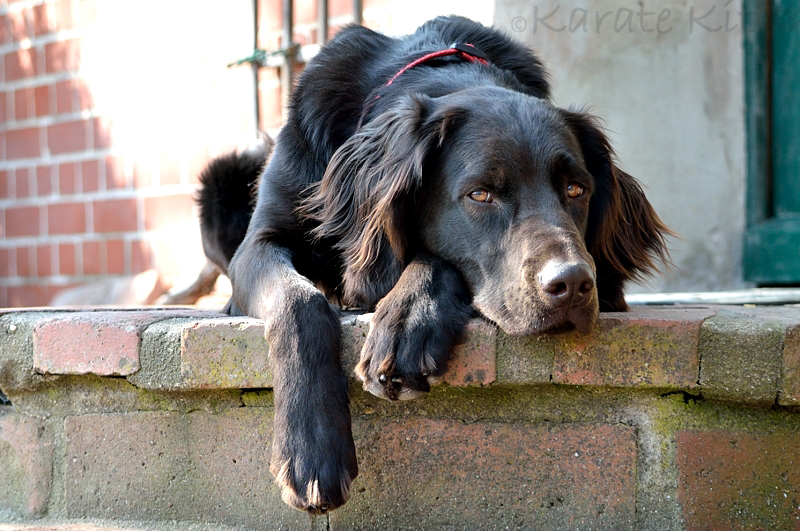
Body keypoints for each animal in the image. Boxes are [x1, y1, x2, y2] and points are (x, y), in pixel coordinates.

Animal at [198, 16, 668, 516]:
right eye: (480, 194)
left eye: (576, 189)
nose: (574, 283)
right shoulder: (259, 245)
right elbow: (298, 302)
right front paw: (310, 451)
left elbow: (430, 257)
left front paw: (408, 323)